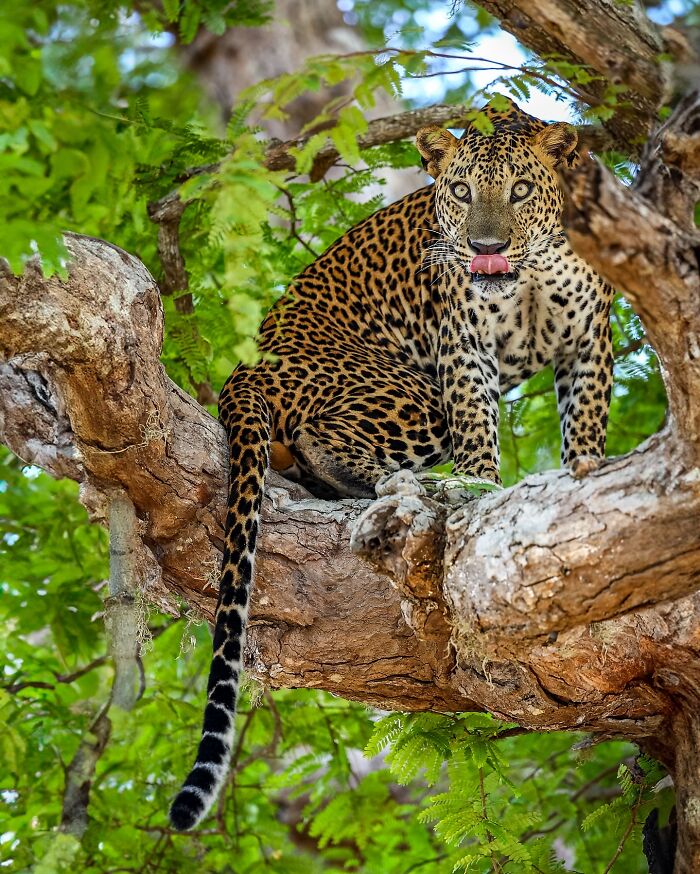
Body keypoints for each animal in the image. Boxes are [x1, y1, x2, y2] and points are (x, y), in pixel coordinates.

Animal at [168, 99, 612, 828]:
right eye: (459, 192)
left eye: (520, 191)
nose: (484, 248)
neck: (530, 279)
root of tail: (247, 369)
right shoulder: (463, 350)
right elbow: (478, 433)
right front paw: (482, 493)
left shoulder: (589, 343)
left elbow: (587, 433)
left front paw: (585, 487)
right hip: (414, 392)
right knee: (322, 437)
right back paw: (409, 482)